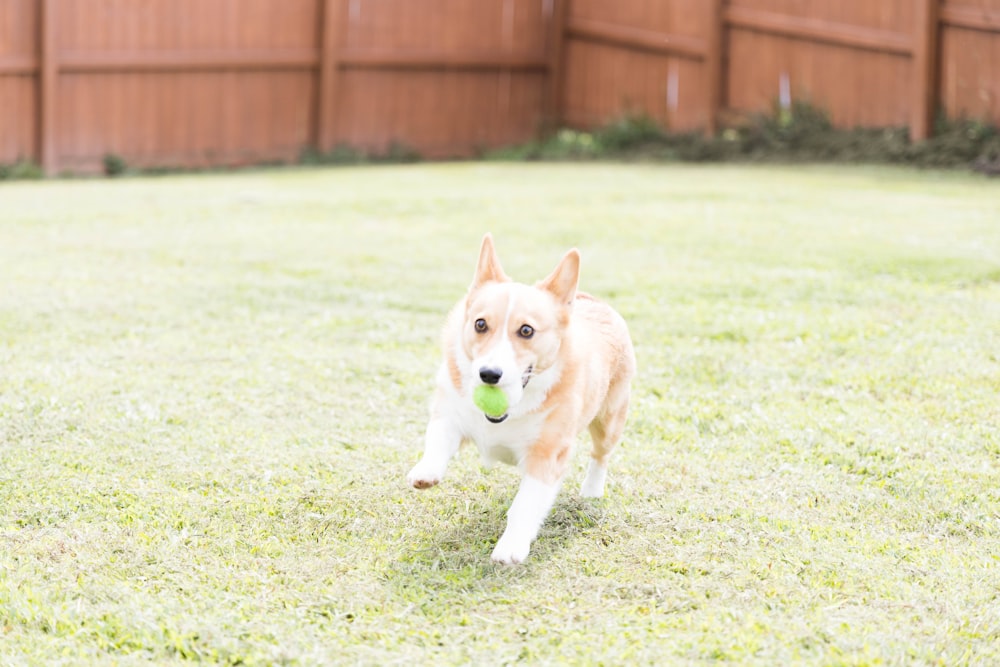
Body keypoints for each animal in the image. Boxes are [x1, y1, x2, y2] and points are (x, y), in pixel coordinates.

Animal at [404, 235, 632, 564]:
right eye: (480, 324)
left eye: (526, 330)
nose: (489, 375)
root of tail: (593, 301)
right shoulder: (449, 414)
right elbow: (437, 440)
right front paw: (425, 472)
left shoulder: (547, 455)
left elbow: (525, 505)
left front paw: (510, 548)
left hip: (609, 421)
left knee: (600, 456)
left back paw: (591, 490)